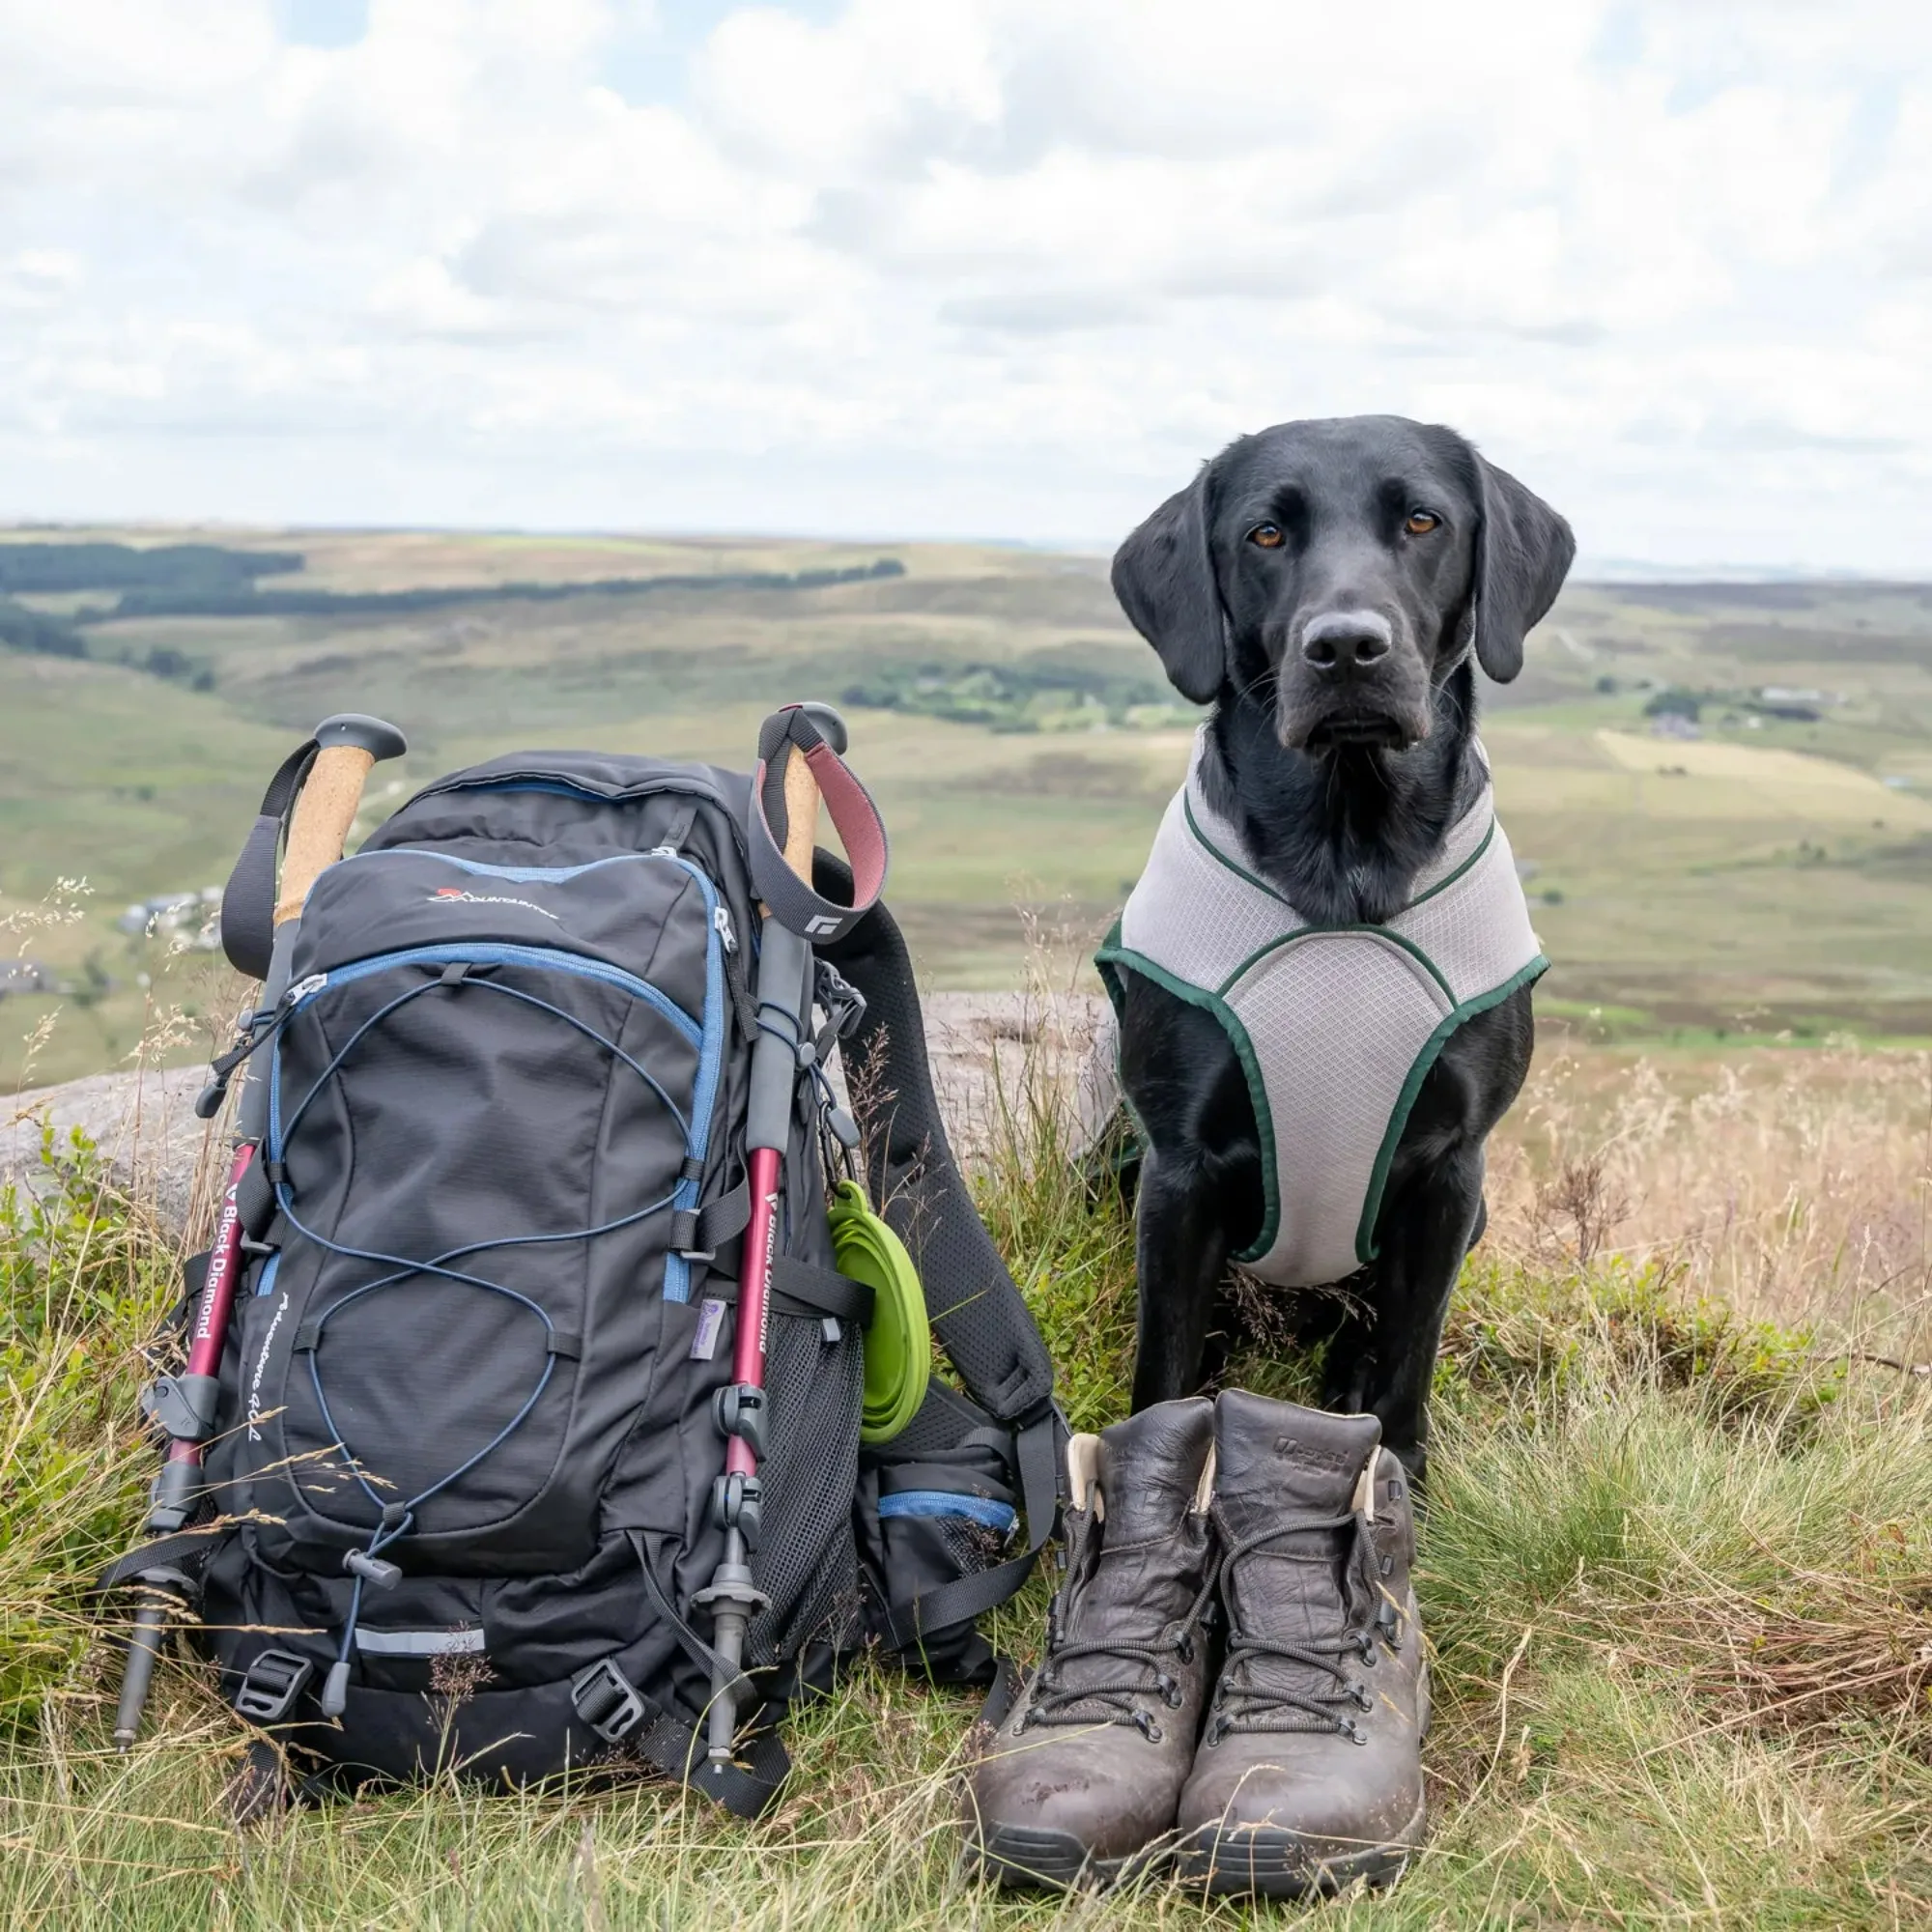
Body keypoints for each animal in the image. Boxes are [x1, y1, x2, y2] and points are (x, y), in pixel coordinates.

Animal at [1105, 415, 1569, 1476]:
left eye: (1422, 519)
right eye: (1264, 535)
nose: (1347, 645)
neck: (1346, 861)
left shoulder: (1451, 1172)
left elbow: (1410, 1357)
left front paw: (1399, 1478)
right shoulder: (1177, 1170)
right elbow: (1161, 1363)